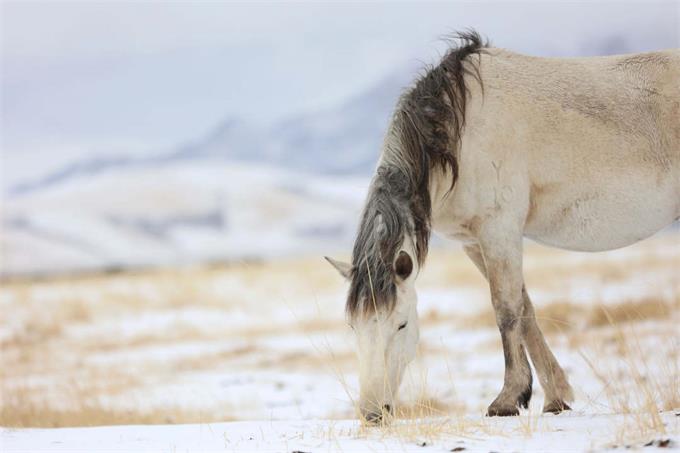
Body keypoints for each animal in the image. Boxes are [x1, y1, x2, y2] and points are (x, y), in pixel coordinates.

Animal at [326, 32, 680, 424]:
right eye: (353, 326)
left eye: (401, 324)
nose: (373, 413)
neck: (457, 136)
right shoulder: (474, 242)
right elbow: (526, 311)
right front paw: (555, 397)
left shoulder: (499, 229)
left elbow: (507, 309)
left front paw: (507, 399)